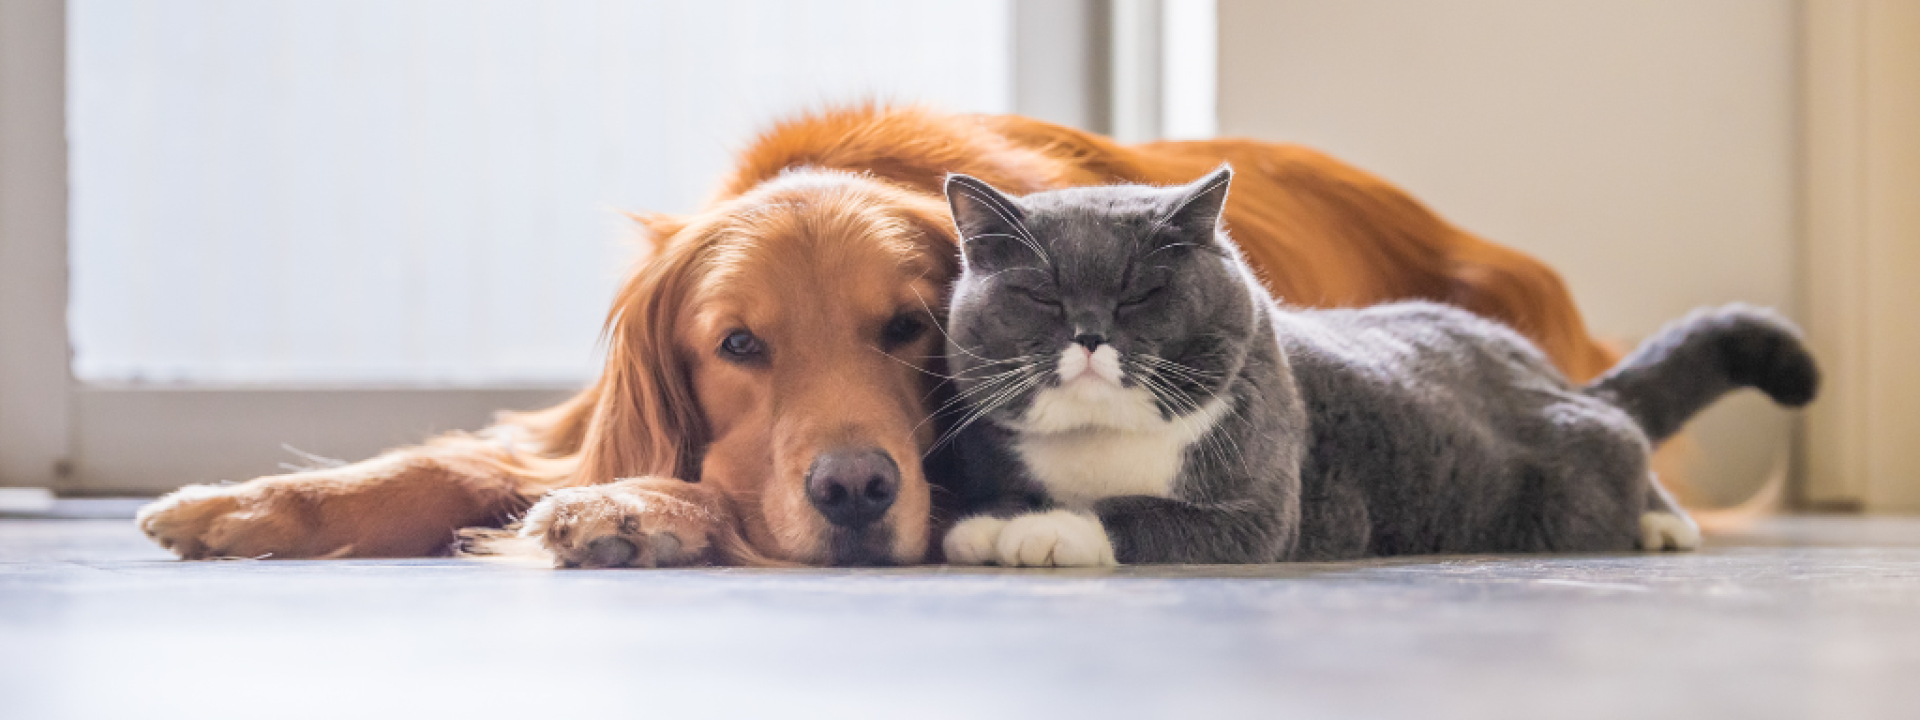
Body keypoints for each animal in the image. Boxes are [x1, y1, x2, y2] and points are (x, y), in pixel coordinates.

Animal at [131, 105, 1620, 568]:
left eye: (908, 328)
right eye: (737, 348)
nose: (854, 491)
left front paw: (640, 513)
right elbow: (454, 461)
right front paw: (244, 505)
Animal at [936, 166, 1820, 568]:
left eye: (1142, 292)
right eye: (1042, 297)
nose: (1089, 334)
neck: (1102, 441)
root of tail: (1544, 369)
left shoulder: (1258, 512)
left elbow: (1132, 512)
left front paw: (1033, 532)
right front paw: (993, 519)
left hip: (1574, 471)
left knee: (1625, 439)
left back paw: (1664, 523)